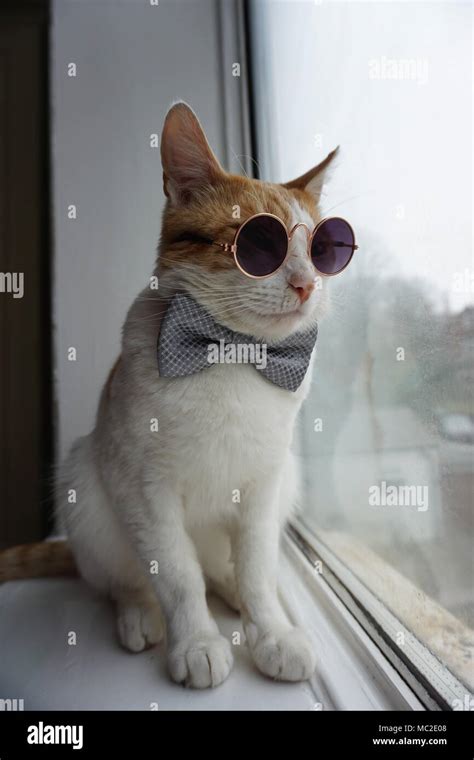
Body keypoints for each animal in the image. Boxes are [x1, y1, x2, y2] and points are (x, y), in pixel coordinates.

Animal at [1, 102, 338, 688]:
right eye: (261, 244)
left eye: (322, 251)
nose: (306, 283)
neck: (232, 357)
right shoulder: (144, 490)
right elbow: (177, 576)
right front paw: (197, 642)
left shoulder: (264, 484)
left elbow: (256, 566)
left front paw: (270, 632)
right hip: (84, 480)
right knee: (127, 580)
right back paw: (140, 615)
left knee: (227, 569)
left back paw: (234, 595)